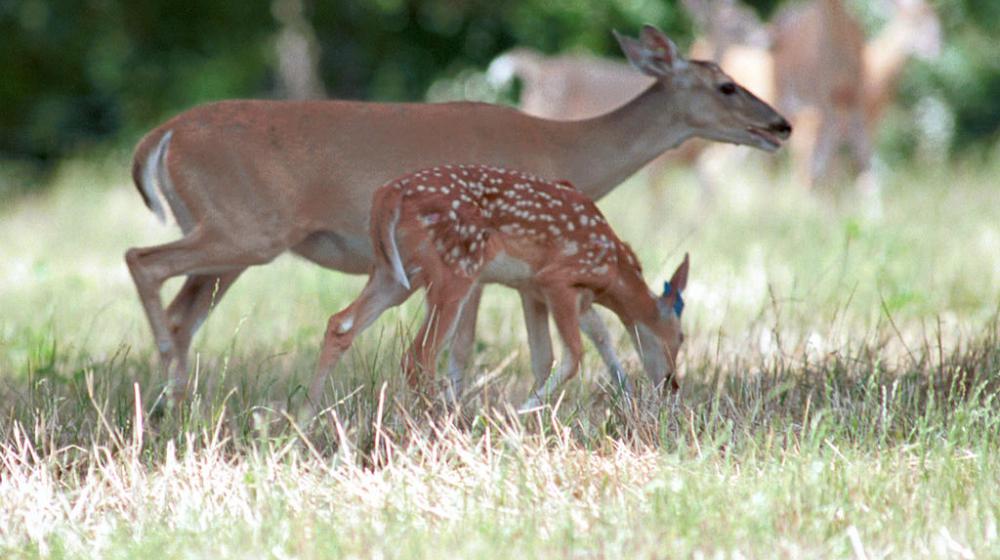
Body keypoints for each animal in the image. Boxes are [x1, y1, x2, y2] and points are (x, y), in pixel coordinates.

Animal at [312, 164, 688, 410]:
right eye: (682, 337)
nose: (672, 384)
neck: (615, 270)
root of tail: (388, 193)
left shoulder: (534, 288)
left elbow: (558, 352)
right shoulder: (557, 279)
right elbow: (573, 355)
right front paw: (523, 410)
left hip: (393, 274)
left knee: (340, 324)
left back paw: (309, 417)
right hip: (455, 269)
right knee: (418, 355)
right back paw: (442, 420)